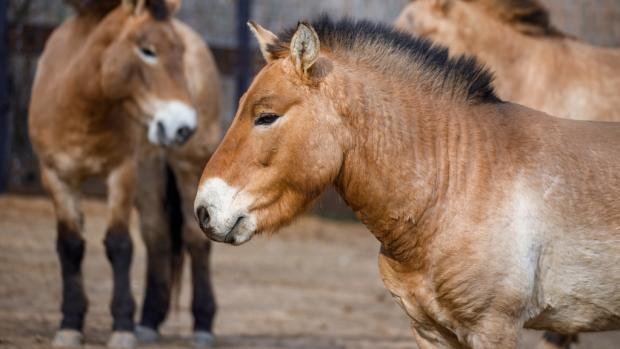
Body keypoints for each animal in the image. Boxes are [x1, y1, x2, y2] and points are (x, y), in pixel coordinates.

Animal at [29, 0, 223, 346]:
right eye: (147, 50)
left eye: (179, 52)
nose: (183, 126)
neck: (77, 103)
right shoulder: (56, 177)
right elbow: (70, 245)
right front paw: (70, 324)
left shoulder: (121, 172)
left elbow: (119, 244)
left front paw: (121, 326)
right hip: (150, 172)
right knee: (157, 235)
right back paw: (147, 321)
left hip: (187, 166)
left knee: (194, 237)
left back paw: (202, 325)